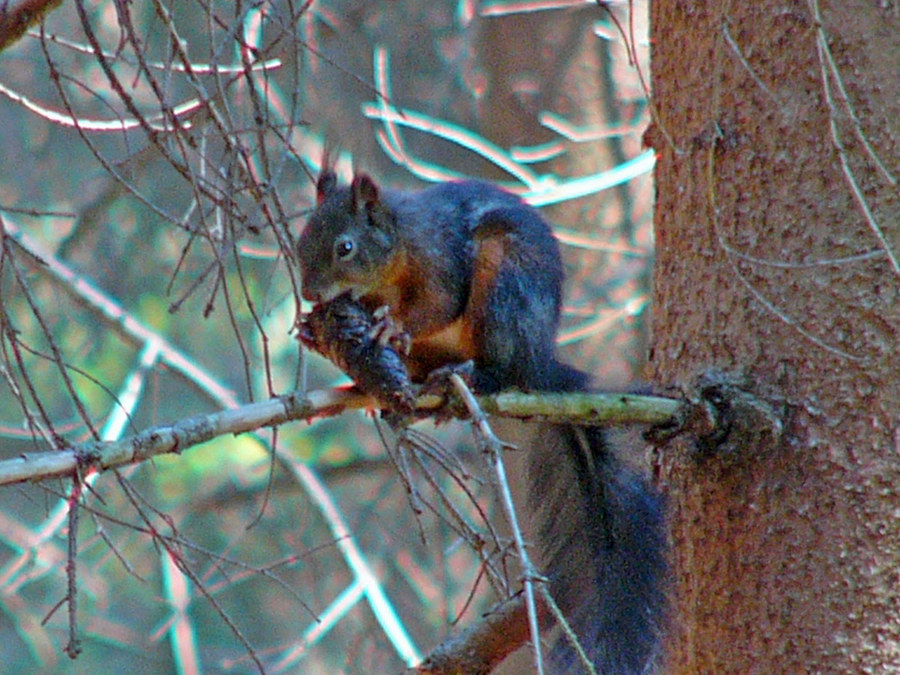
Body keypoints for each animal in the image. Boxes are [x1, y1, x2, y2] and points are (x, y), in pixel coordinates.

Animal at [298, 170, 664, 675]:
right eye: (302, 237)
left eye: (345, 247)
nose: (309, 294)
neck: (397, 246)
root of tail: (539, 363)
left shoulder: (439, 260)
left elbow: (439, 303)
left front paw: (392, 326)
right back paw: (396, 394)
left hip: (505, 284)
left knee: (502, 369)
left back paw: (471, 374)